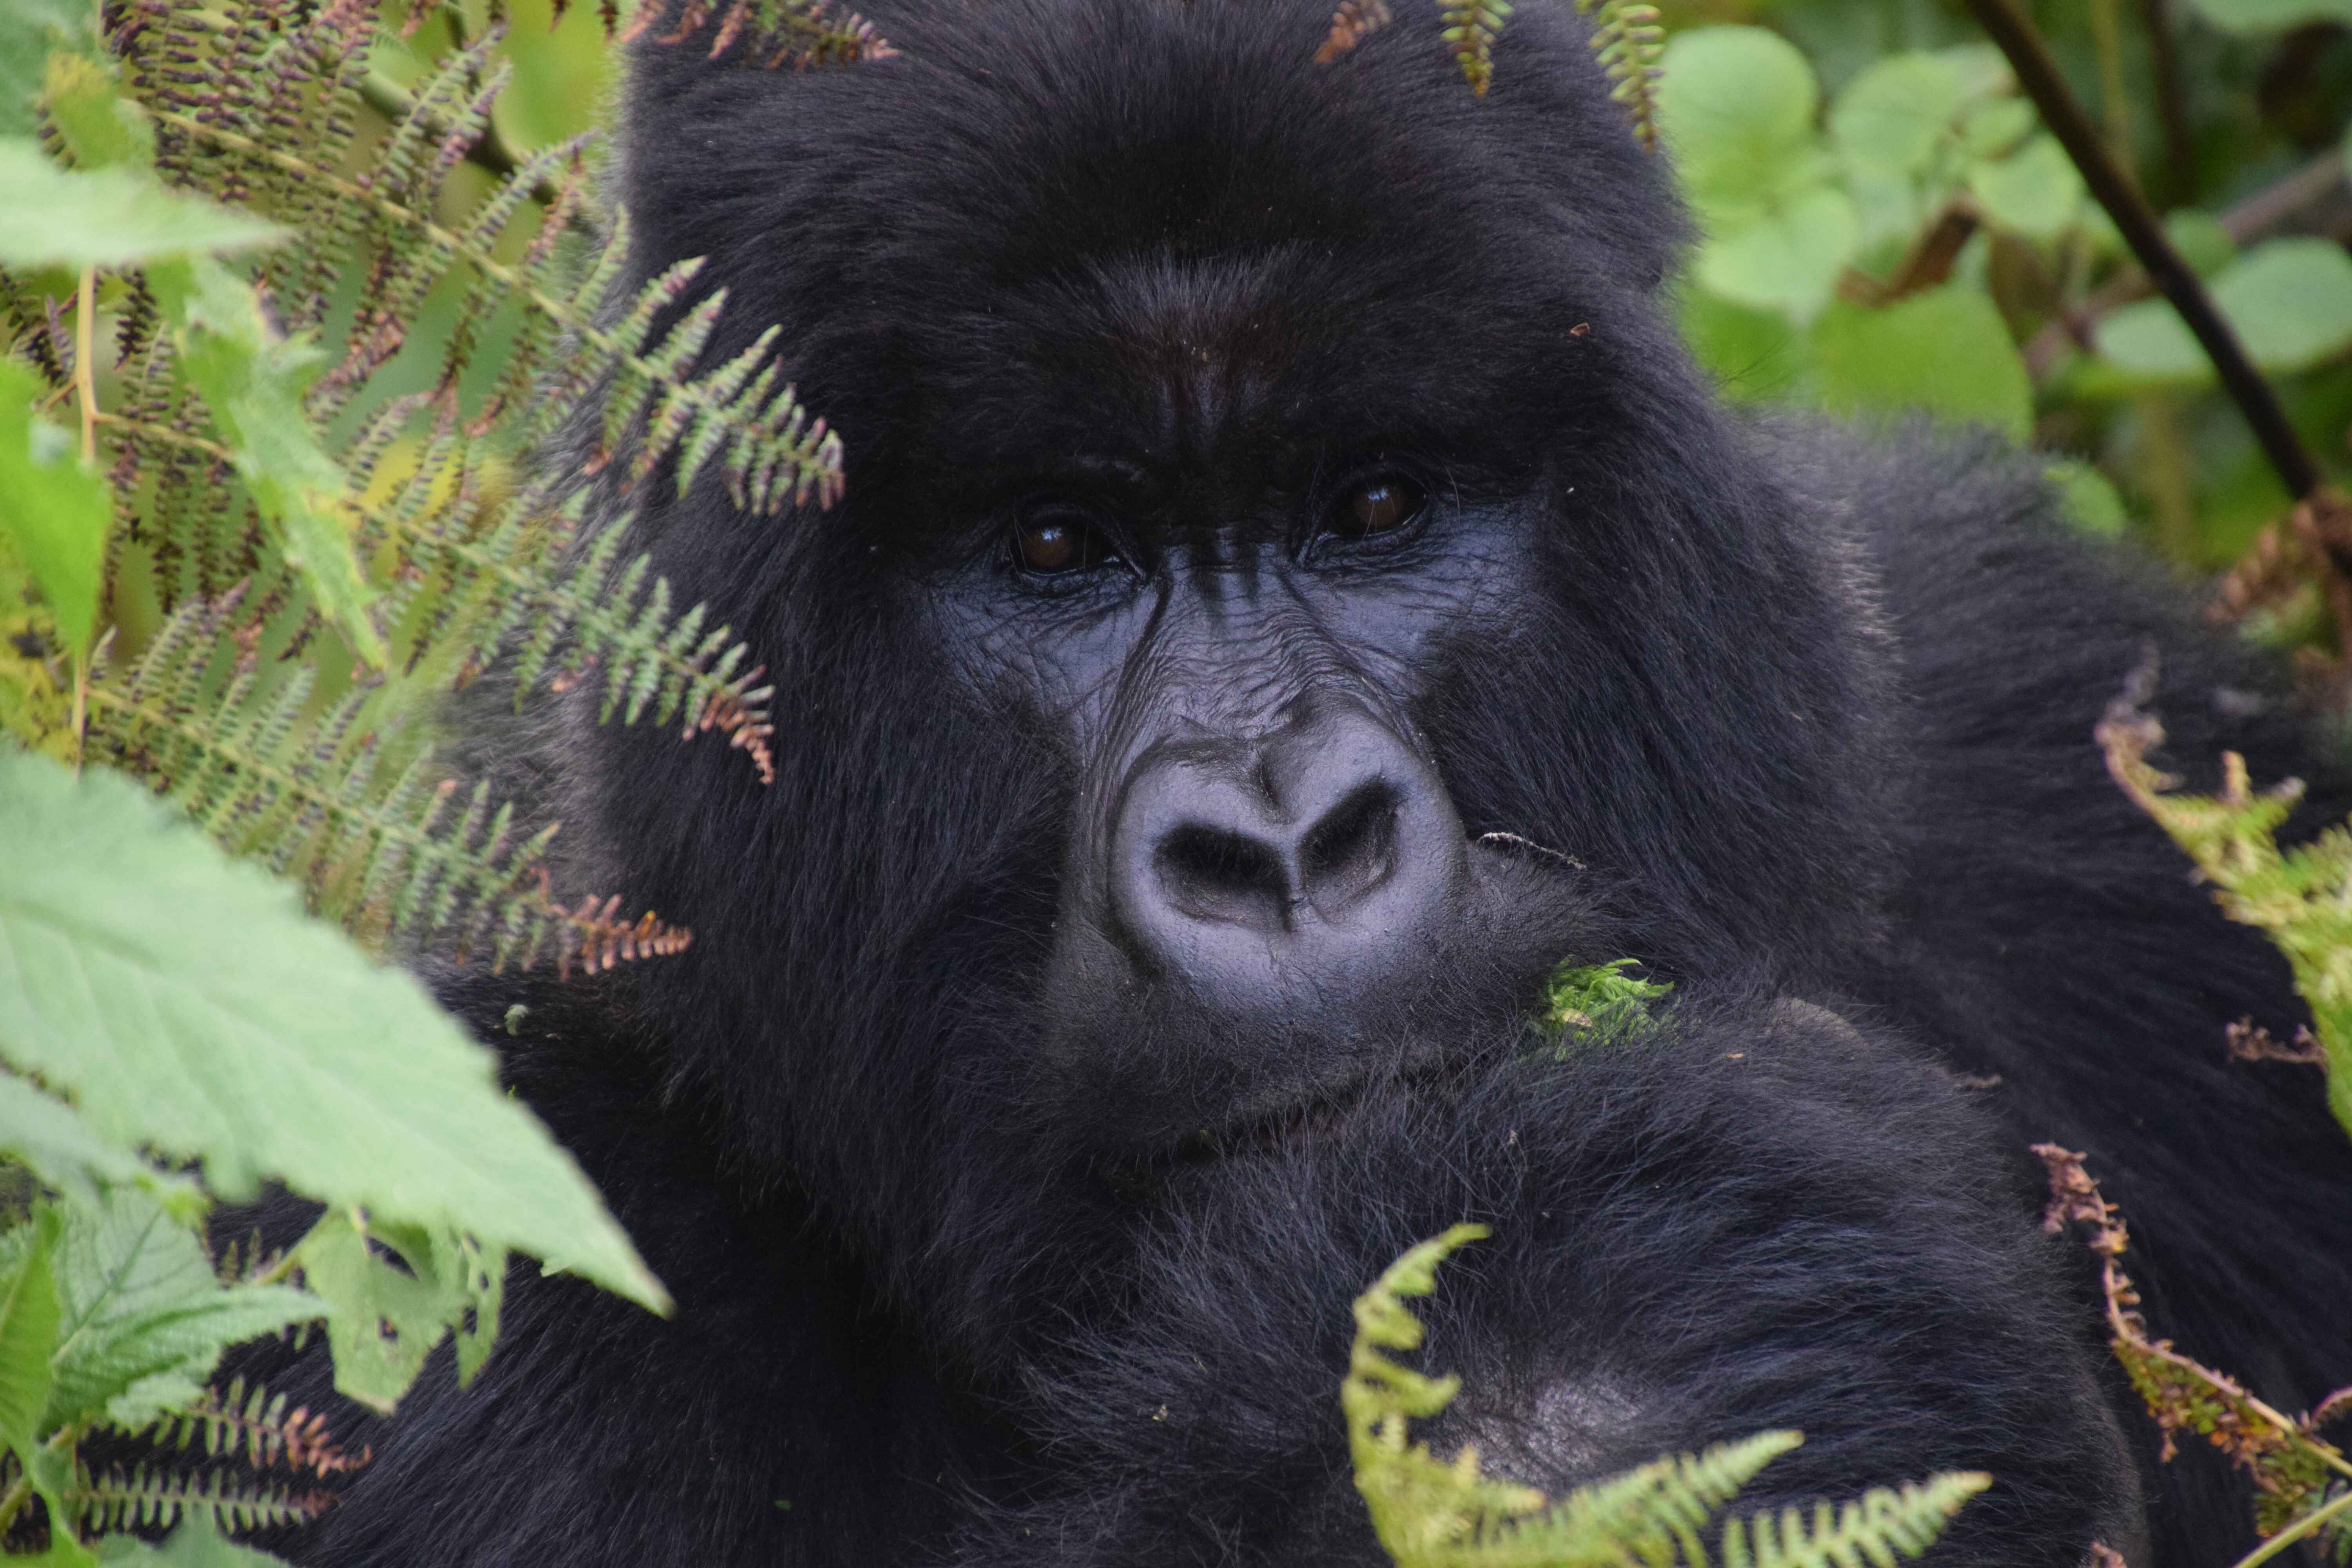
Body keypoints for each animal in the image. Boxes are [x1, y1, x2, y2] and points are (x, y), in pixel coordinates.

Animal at [258, 0, 2352, 1561]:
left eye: (1372, 505)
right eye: (1058, 546)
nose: (1281, 840)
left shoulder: (2049, 743)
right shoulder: (434, 1257)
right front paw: (1606, 1350)